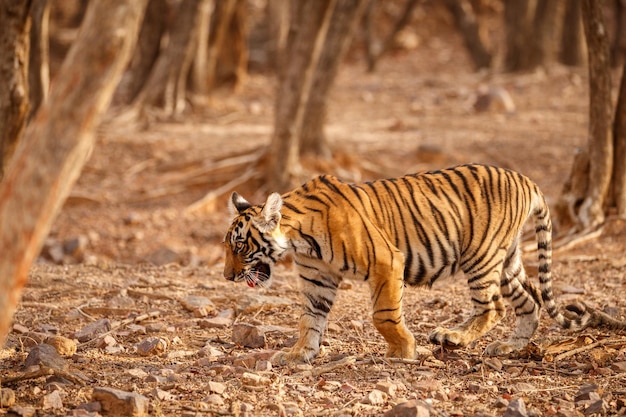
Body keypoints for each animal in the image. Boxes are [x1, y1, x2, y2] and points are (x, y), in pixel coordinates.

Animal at [222, 164, 620, 362]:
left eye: (240, 246)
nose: (227, 276)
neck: (301, 239)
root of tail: (526, 179)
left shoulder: (385, 261)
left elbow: (383, 315)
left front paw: (403, 351)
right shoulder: (318, 281)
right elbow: (309, 320)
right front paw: (298, 354)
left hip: (482, 255)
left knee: (494, 306)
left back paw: (453, 337)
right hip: (507, 259)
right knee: (531, 300)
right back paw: (509, 347)